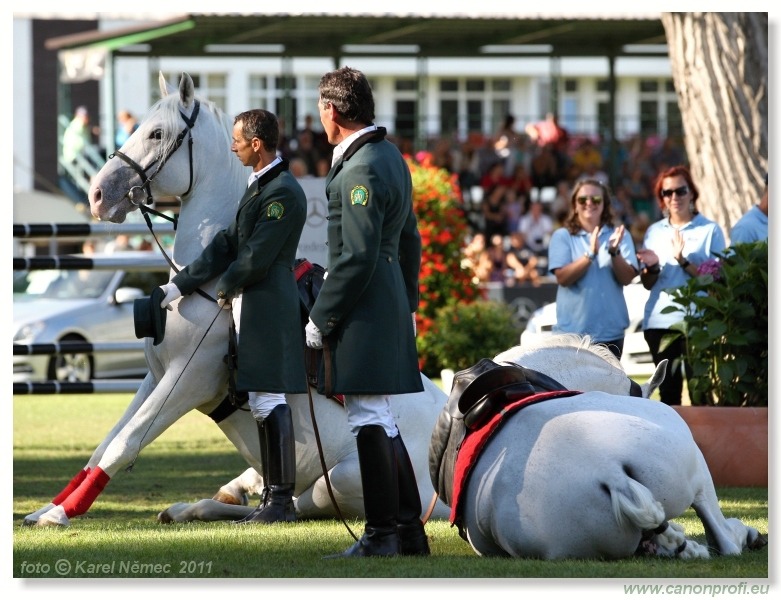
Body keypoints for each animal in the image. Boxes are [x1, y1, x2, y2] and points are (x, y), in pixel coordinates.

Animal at [21, 72, 448, 528]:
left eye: (156, 133)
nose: (98, 194)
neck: (209, 285)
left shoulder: (188, 380)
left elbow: (125, 444)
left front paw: (59, 513)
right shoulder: (156, 376)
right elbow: (106, 442)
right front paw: (49, 507)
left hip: (340, 481)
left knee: (303, 501)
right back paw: (202, 504)